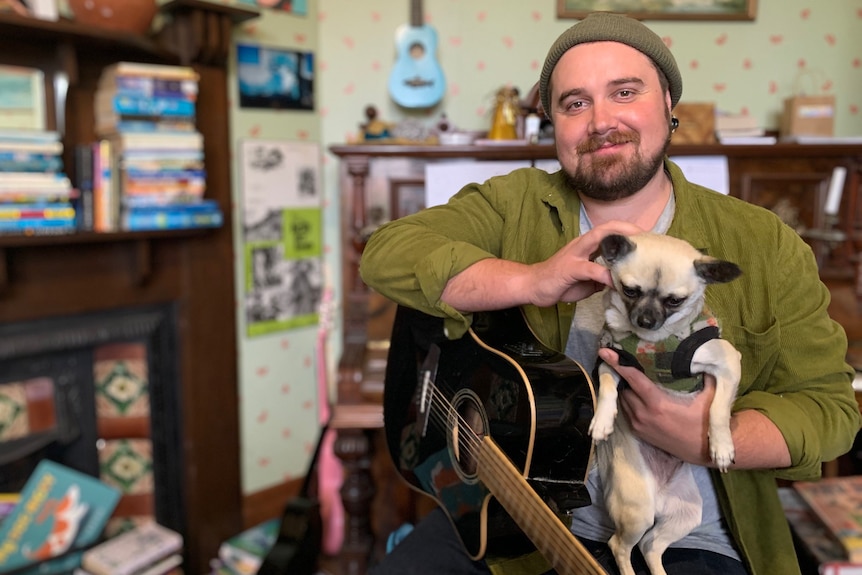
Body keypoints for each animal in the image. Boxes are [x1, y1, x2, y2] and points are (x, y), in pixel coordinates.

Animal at [592, 233, 744, 575]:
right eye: (630, 290)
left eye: (675, 301)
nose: (646, 320)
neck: (654, 342)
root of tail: (659, 498)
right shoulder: (612, 362)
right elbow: (606, 390)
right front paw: (603, 421)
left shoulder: (727, 364)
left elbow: (717, 410)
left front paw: (721, 446)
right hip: (638, 511)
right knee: (620, 546)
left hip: (685, 515)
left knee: (649, 546)